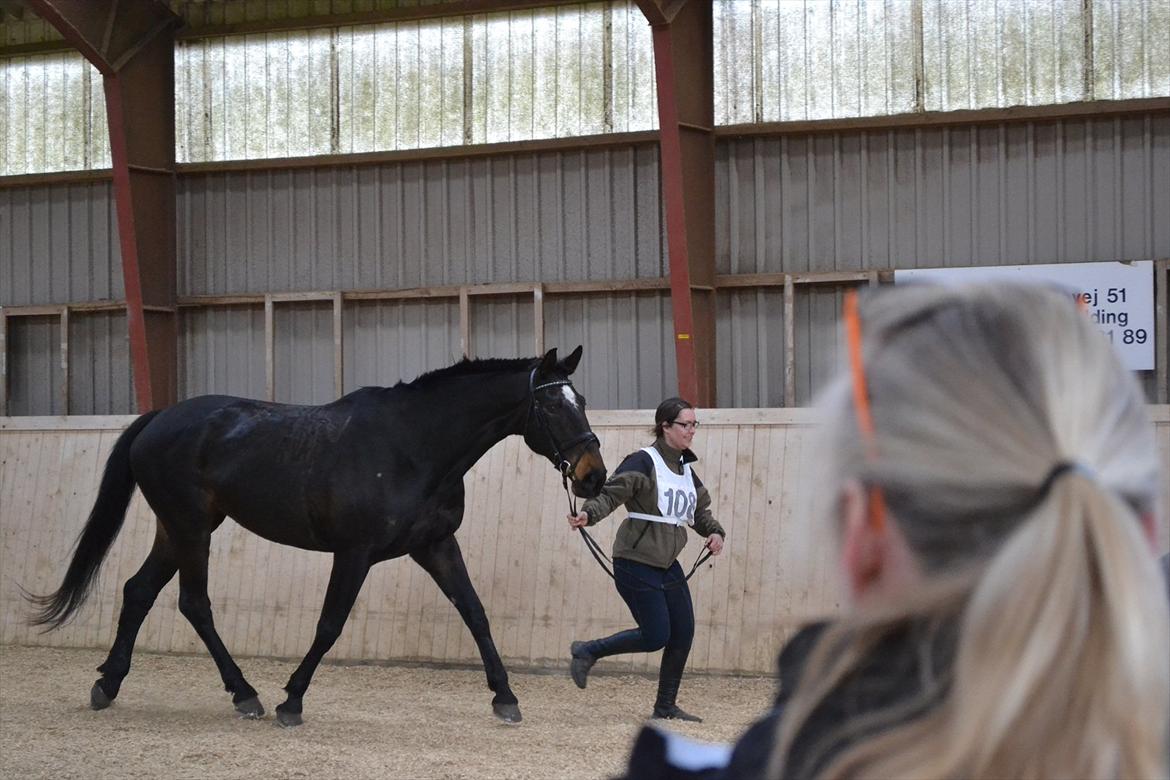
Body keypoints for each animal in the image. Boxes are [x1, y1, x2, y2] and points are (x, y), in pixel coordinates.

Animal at [27, 348, 603, 725]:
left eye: (581, 399)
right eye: (555, 406)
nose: (593, 476)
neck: (413, 446)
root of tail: (158, 418)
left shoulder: (436, 546)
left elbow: (475, 613)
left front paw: (505, 697)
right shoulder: (354, 553)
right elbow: (329, 625)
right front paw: (292, 701)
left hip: (179, 529)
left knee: (139, 591)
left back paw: (108, 683)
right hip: (191, 530)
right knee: (194, 603)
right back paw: (246, 695)